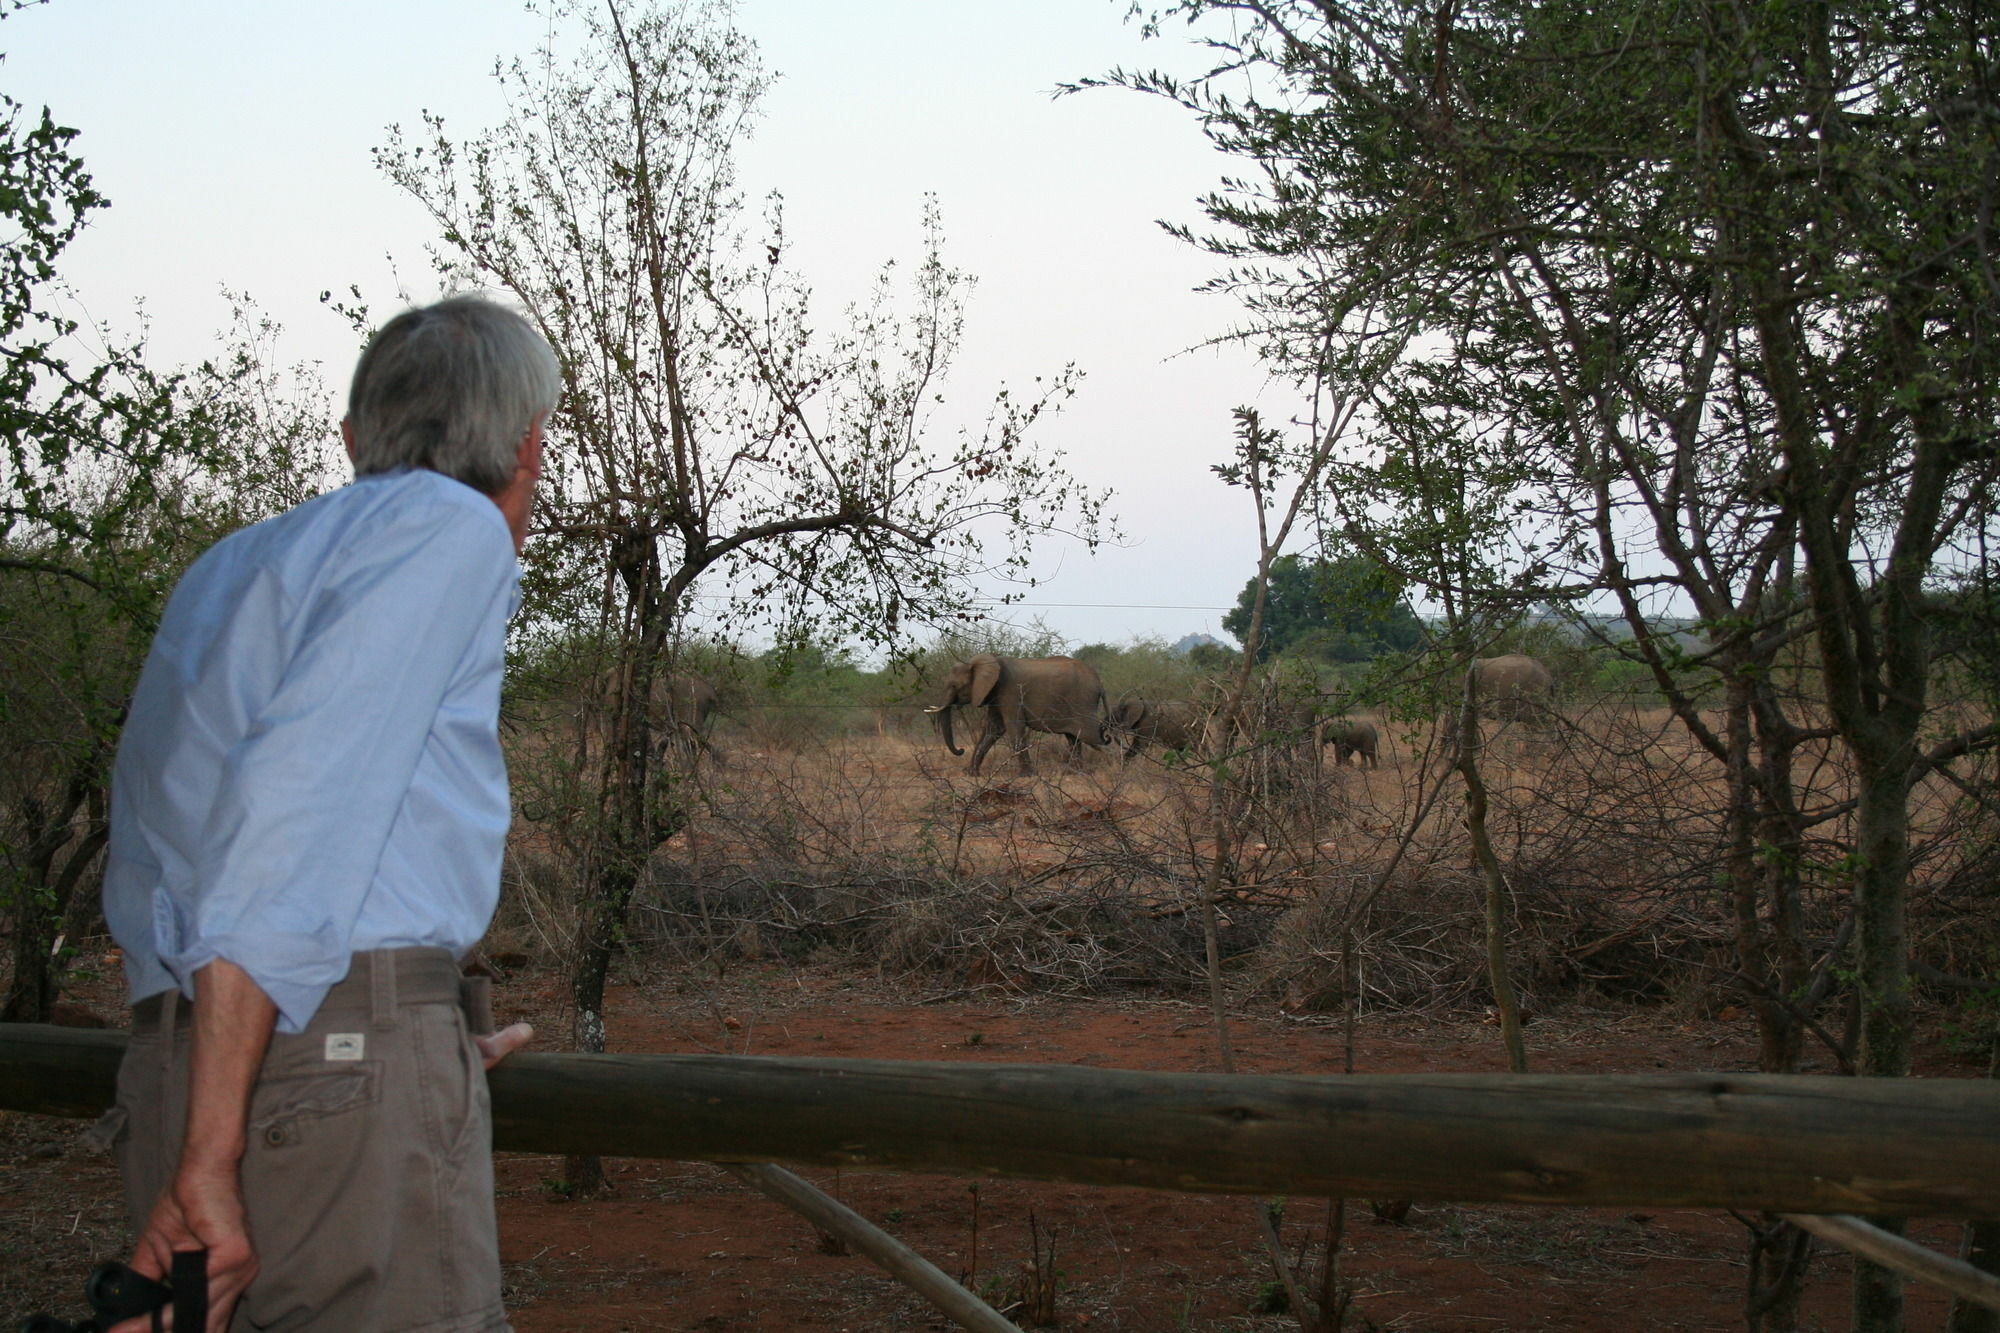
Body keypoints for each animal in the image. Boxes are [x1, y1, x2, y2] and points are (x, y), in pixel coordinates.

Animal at [924, 652, 1112, 772]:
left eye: (954, 686)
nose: (961, 750)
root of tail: (1101, 683)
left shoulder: (1010, 692)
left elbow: (1014, 729)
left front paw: (1027, 775)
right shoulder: (995, 694)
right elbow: (993, 730)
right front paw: (972, 773)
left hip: (1082, 703)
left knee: (1093, 738)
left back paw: (1112, 765)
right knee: (1074, 738)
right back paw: (1075, 771)